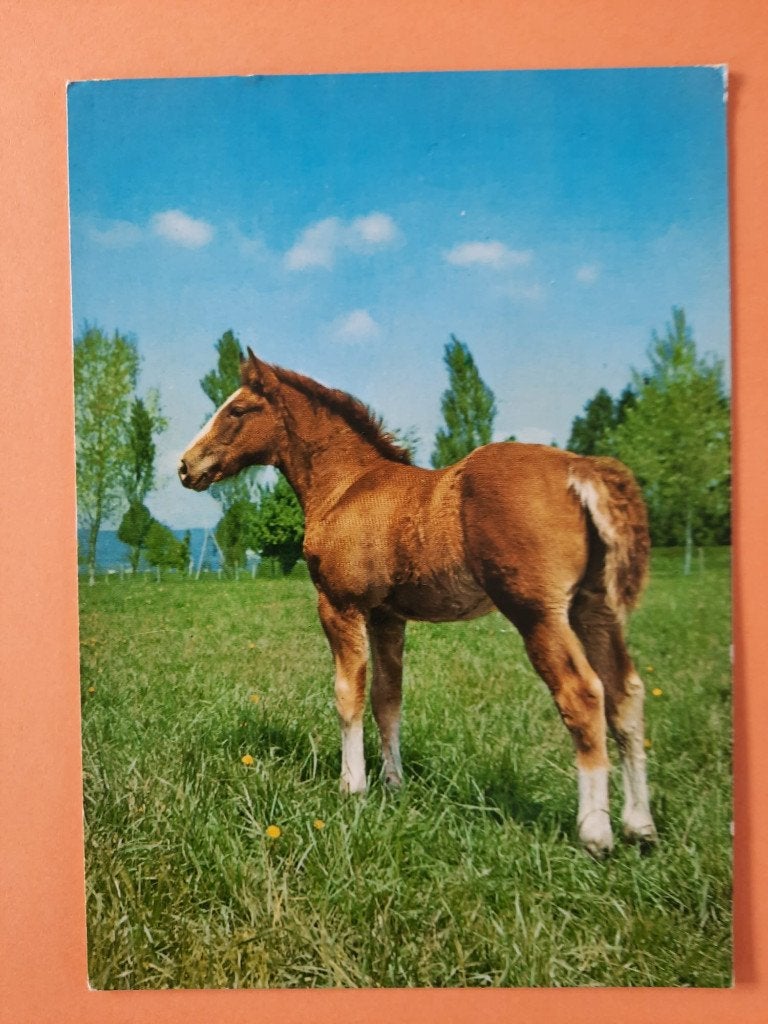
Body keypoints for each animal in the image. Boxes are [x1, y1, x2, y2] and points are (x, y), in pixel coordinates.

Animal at [179, 349, 657, 857]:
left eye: (236, 410)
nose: (185, 466)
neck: (347, 487)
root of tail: (579, 468)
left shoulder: (339, 605)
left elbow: (348, 693)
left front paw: (352, 786)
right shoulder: (387, 617)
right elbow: (388, 698)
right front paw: (393, 784)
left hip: (538, 614)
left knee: (583, 695)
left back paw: (596, 833)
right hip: (594, 610)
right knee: (626, 693)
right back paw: (640, 827)